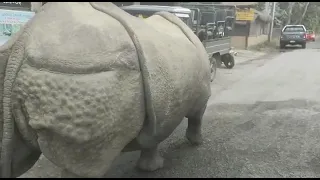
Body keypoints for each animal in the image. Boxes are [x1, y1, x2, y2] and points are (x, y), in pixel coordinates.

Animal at [0, 1, 211, 179]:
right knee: (87, 162)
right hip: (84, 75)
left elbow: (152, 138)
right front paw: (196, 143)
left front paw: (149, 168)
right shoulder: (201, 93)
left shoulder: (161, 111)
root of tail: (24, 40)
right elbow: (196, 117)